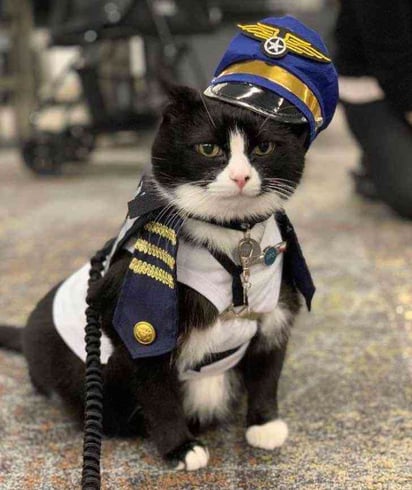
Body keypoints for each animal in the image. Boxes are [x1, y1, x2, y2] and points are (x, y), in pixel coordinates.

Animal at [0, 84, 308, 470]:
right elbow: (156, 387)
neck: (232, 245)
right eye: (208, 148)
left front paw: (264, 425)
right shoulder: (135, 318)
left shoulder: (275, 306)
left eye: (264, 148)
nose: (240, 177)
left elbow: (268, 369)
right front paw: (180, 447)